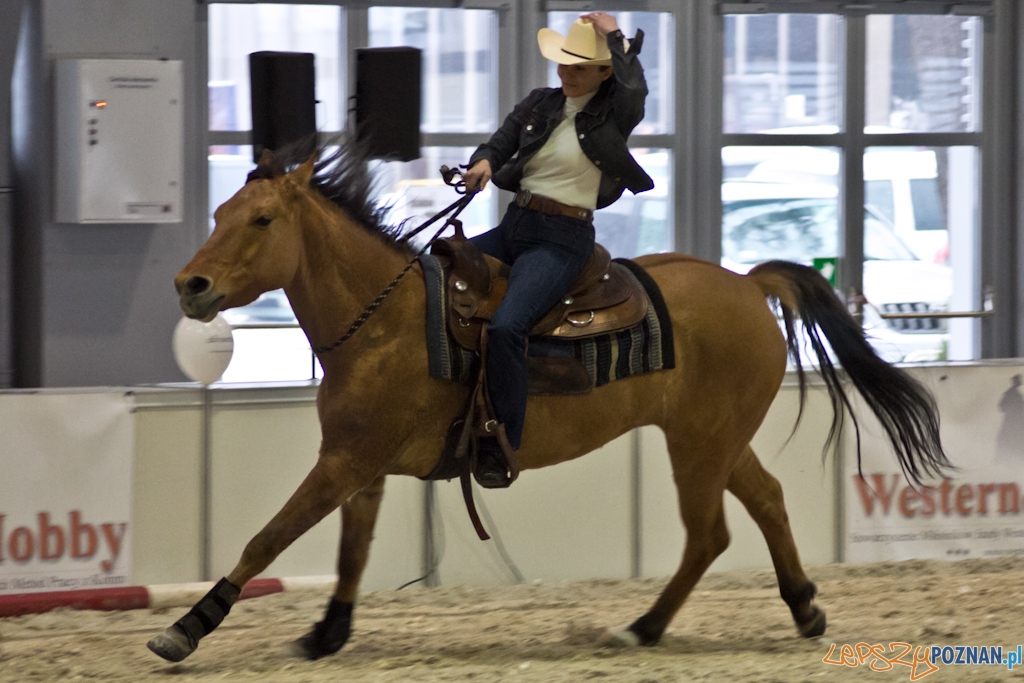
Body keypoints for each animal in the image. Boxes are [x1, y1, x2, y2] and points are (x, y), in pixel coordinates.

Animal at [148, 140, 946, 663]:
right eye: (219, 212)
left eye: (261, 221)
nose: (190, 285)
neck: (385, 318)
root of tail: (749, 283)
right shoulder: (359, 466)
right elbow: (352, 549)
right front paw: (327, 631)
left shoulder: (343, 462)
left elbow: (267, 538)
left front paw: (187, 627)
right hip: (715, 438)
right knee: (768, 500)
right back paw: (801, 606)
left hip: (698, 445)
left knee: (709, 534)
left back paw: (644, 626)